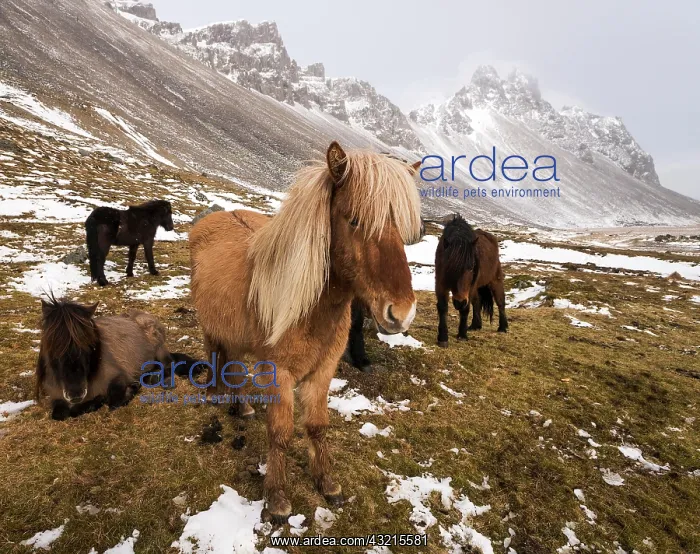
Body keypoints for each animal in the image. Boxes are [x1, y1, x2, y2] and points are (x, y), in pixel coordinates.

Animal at [36, 297, 180, 420]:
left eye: (88, 344)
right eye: (51, 346)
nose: (75, 394)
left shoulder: (118, 376)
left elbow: (113, 401)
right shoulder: (55, 395)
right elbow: (59, 414)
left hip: (159, 348)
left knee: (167, 364)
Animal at [189, 141, 422, 522]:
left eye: (400, 228)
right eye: (354, 220)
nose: (400, 314)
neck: (310, 310)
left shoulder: (323, 370)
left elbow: (316, 425)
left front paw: (327, 483)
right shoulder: (279, 374)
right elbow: (280, 433)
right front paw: (277, 499)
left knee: (234, 366)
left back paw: (243, 407)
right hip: (210, 327)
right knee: (214, 354)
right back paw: (214, 392)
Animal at [435, 214, 507, 347]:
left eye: (471, 267)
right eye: (449, 266)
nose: (459, 302)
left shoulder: (469, 288)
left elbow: (465, 309)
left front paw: (462, 335)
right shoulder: (440, 284)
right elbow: (443, 307)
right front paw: (443, 338)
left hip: (495, 281)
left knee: (500, 302)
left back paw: (503, 327)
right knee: (477, 302)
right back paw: (475, 325)